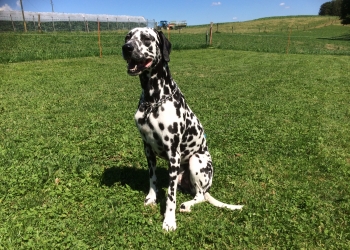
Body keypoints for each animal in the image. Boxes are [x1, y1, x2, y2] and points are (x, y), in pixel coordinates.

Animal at [121, 26, 242, 230]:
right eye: (127, 37)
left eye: (146, 38)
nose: (126, 48)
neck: (153, 101)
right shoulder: (147, 148)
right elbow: (152, 178)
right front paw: (151, 197)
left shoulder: (173, 153)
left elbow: (170, 196)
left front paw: (169, 220)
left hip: (195, 161)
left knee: (200, 196)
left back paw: (187, 205)